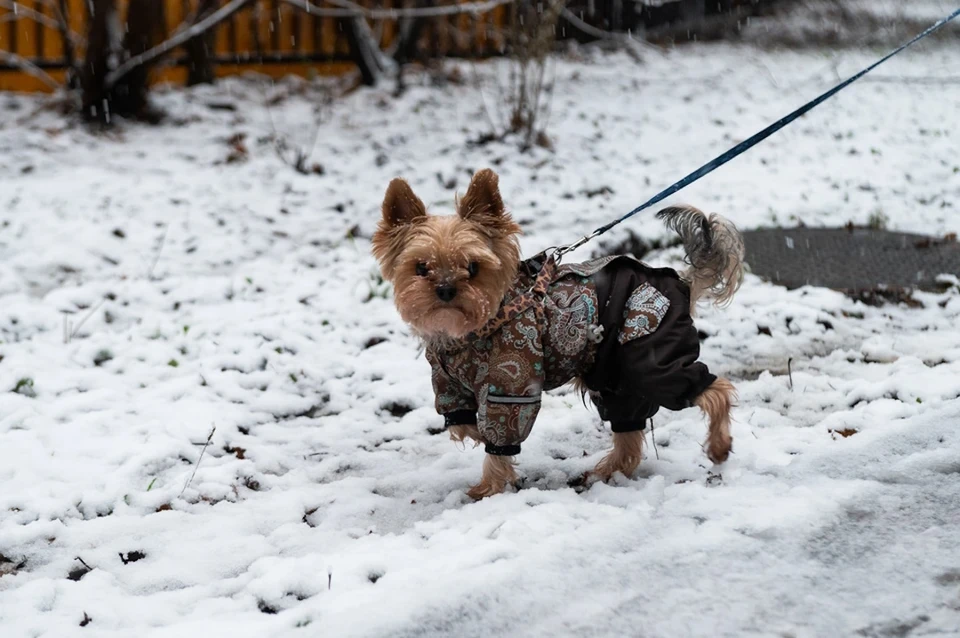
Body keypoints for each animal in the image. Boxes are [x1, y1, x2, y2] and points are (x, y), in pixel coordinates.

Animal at [372, 169, 748, 500]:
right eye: (421, 268)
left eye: (473, 268)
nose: (446, 290)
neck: (472, 332)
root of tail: (680, 283)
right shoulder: (448, 386)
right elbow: (461, 424)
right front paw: (480, 437)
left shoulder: (510, 388)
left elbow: (501, 431)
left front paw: (489, 486)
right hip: (616, 373)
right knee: (629, 429)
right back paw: (606, 471)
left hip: (651, 356)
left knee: (714, 389)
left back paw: (718, 446)